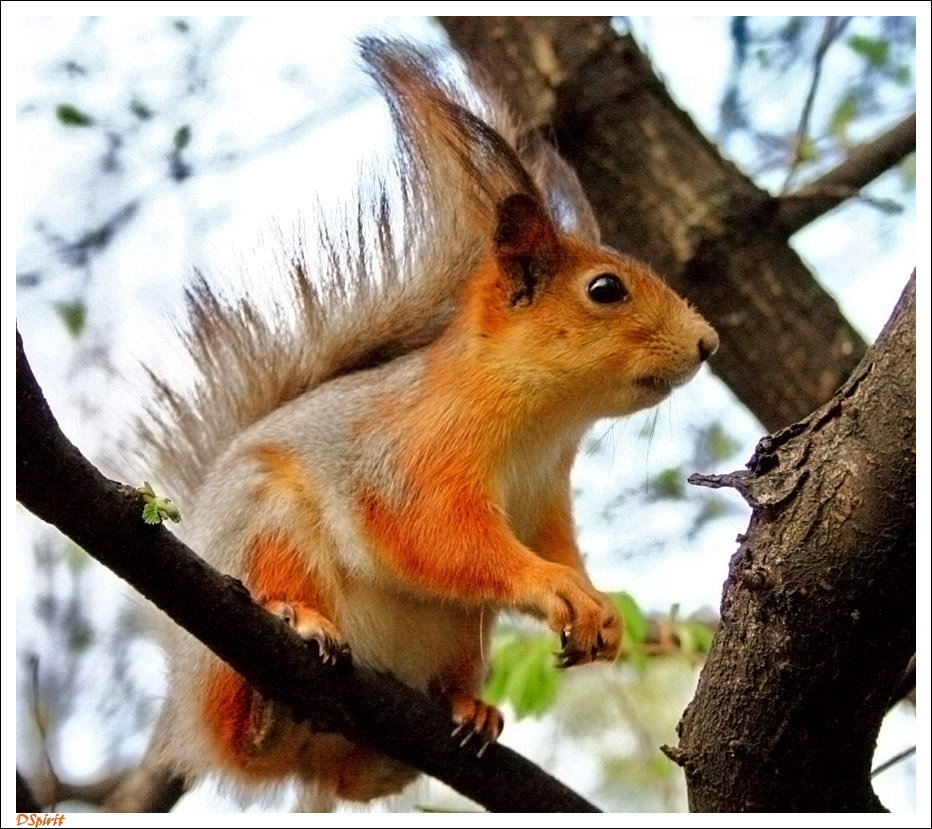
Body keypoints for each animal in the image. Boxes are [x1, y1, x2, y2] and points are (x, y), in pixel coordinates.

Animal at [134, 39, 719, 810]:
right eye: (605, 289)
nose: (709, 342)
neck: (543, 423)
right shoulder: (415, 459)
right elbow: (438, 536)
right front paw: (552, 587)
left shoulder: (543, 500)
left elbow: (559, 547)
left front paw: (596, 603)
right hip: (264, 532)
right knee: (249, 725)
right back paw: (279, 677)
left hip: (460, 640)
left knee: (360, 775)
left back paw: (462, 713)